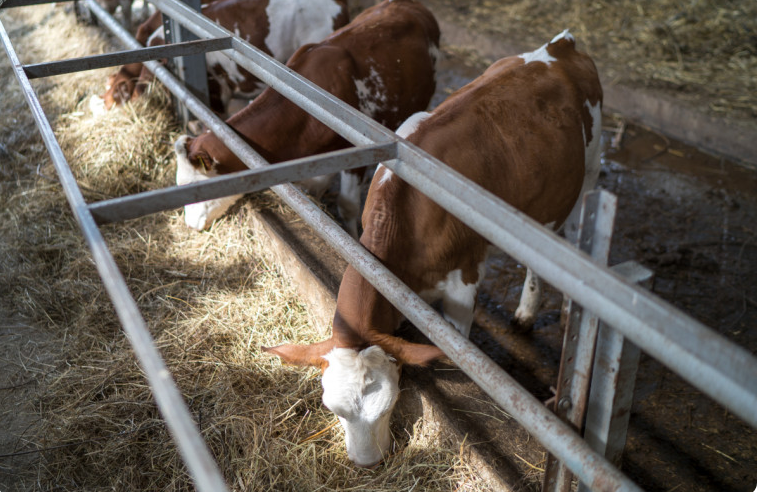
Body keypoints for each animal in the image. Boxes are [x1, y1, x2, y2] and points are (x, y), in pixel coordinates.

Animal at [264, 30, 604, 468]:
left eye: (389, 405)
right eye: (331, 408)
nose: (366, 463)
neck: (407, 213)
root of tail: (559, 45)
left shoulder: (464, 282)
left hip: (588, 178)